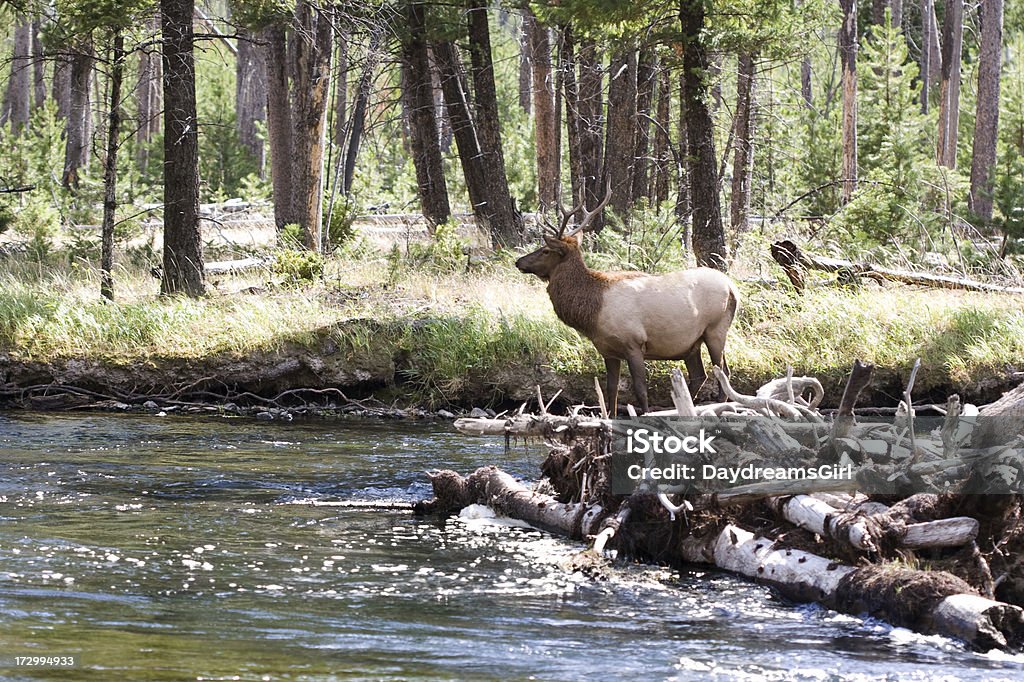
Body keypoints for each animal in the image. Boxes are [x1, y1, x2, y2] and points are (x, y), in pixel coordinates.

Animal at [516, 191, 741, 413]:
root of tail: (732, 287)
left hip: (715, 329)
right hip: (691, 344)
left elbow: (640, 390)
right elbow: (611, 390)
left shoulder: (634, 343)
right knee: (699, 376)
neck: (593, 314)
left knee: (723, 372)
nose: (518, 261)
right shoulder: (608, 351)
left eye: (545, 250)